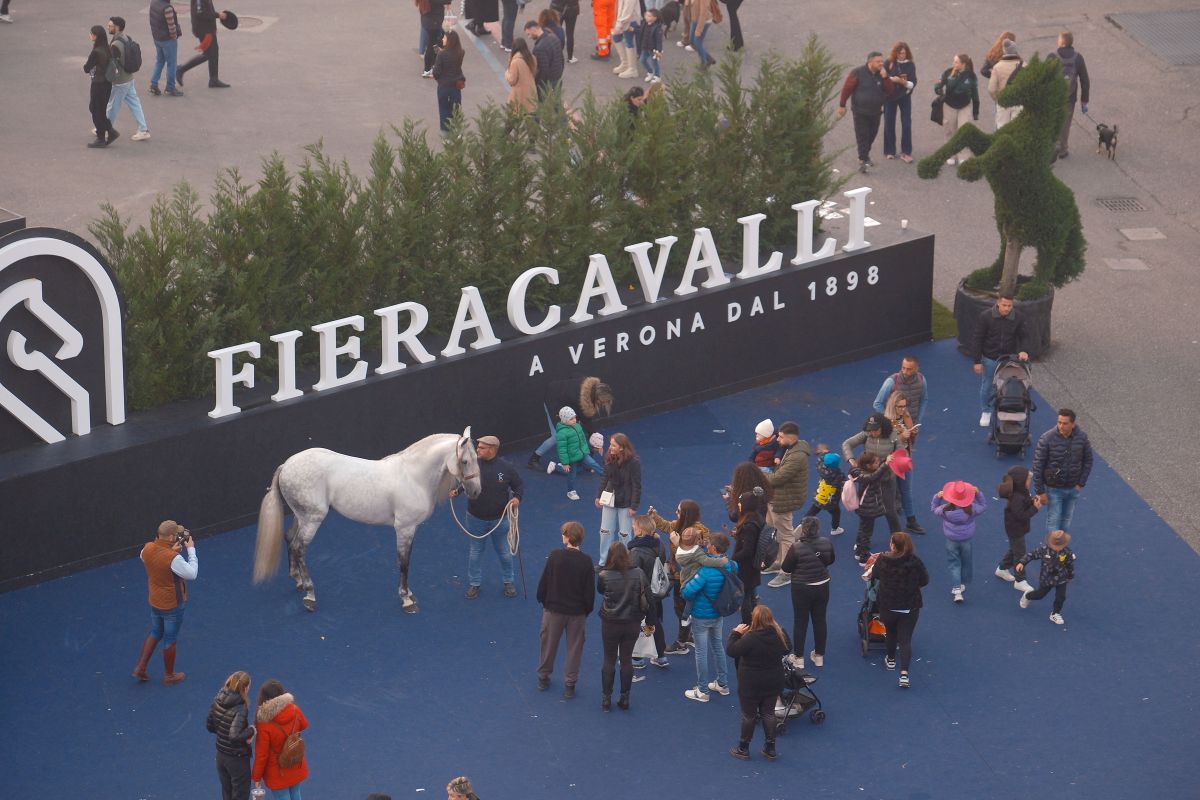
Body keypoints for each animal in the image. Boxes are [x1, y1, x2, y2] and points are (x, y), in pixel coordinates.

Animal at [254, 431, 482, 614]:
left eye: (477, 457)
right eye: (464, 461)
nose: (476, 492)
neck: (413, 477)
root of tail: (286, 465)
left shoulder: (412, 529)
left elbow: (407, 561)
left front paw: (409, 593)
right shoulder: (404, 528)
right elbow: (403, 562)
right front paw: (406, 600)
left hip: (301, 516)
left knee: (289, 539)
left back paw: (298, 580)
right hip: (312, 519)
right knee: (299, 547)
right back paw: (310, 596)